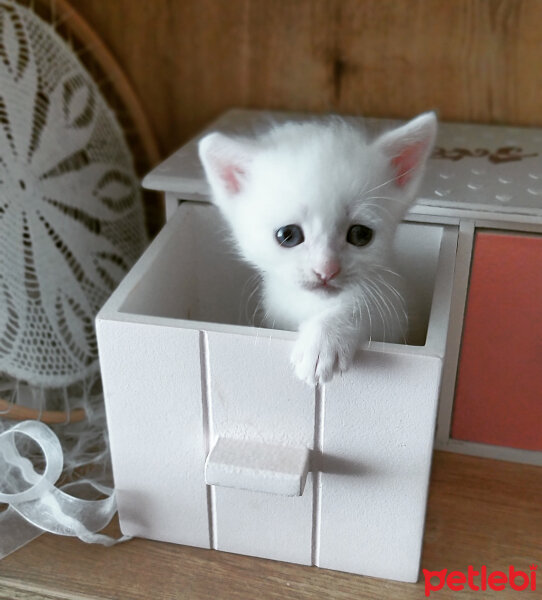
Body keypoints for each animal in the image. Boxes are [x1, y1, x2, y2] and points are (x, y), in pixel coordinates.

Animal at [199, 112, 438, 384]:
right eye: (288, 235)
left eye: (360, 234)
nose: (326, 270)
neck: (310, 303)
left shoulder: (393, 312)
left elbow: (362, 307)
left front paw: (324, 340)